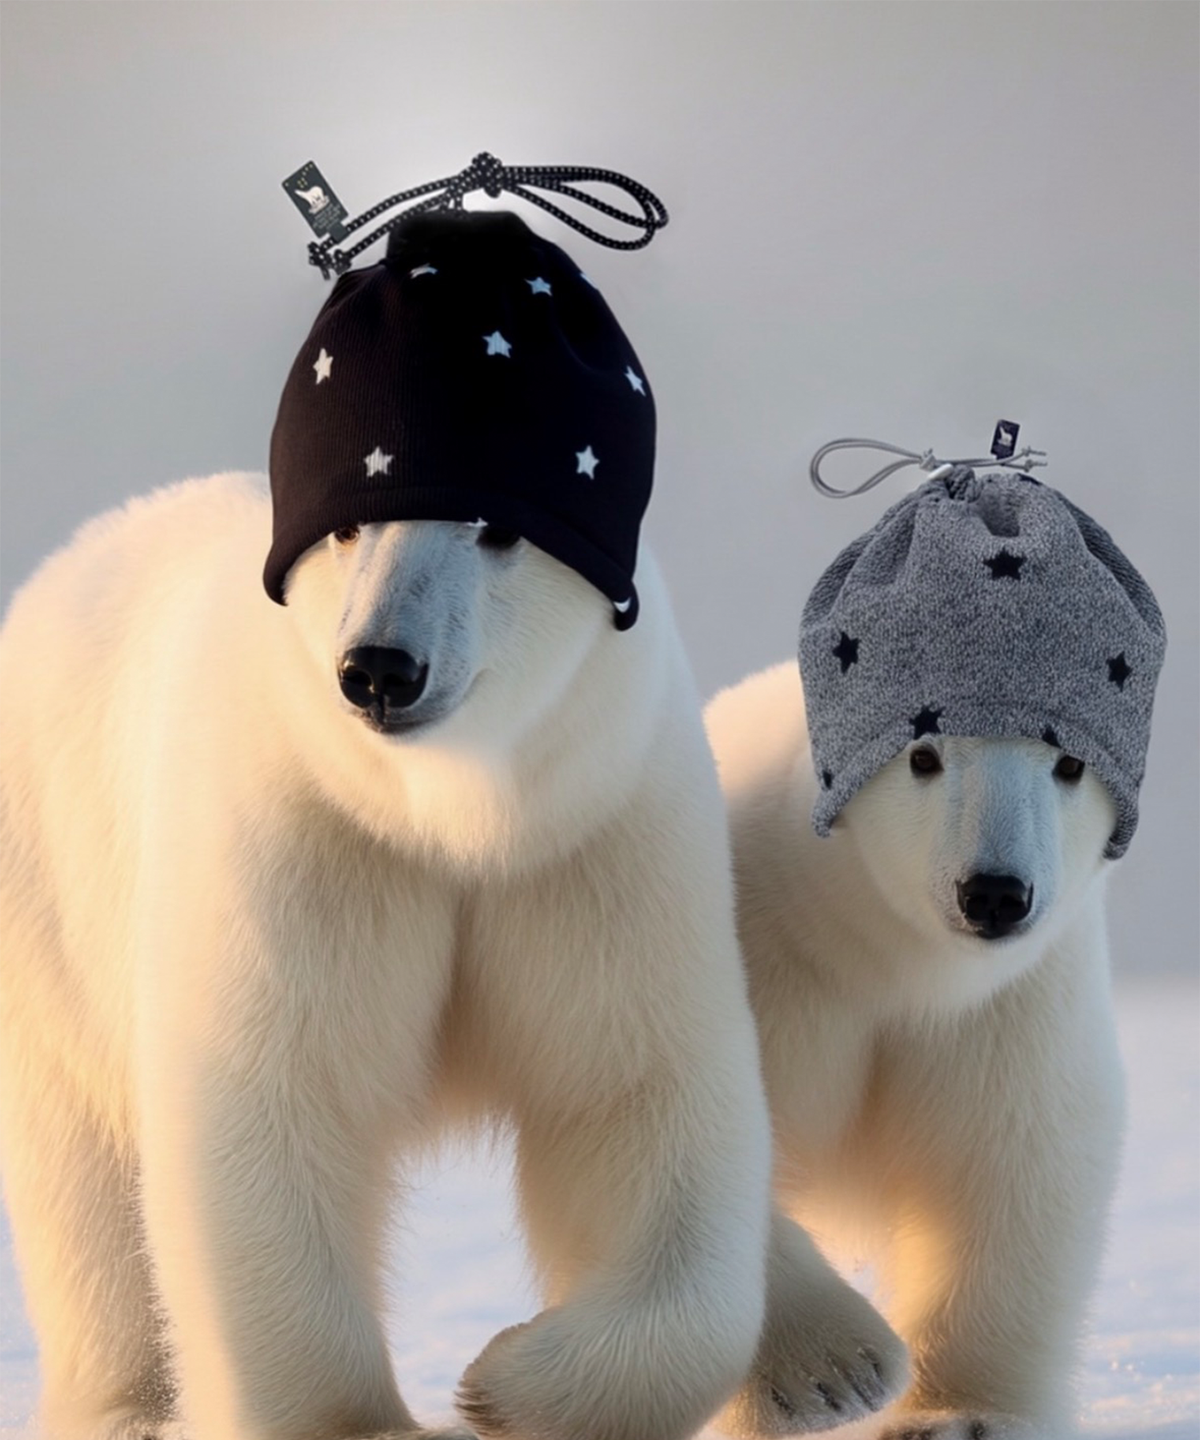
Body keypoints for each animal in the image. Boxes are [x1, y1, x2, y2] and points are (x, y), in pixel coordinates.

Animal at [0, 474, 907, 1440]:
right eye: (348, 529)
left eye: (496, 530)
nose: (379, 668)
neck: (450, 813)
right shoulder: (305, 829)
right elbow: (277, 1100)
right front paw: (367, 1424)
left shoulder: (591, 830)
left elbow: (634, 1094)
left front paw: (502, 1387)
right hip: (51, 911)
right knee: (84, 1182)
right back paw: (128, 1409)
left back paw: (832, 1364)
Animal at [706, 660, 1131, 1440]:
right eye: (923, 757)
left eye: (1070, 764)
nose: (994, 893)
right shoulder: (762, 958)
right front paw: (831, 1377)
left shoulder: (1005, 1009)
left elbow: (1013, 1159)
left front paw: (958, 1417)